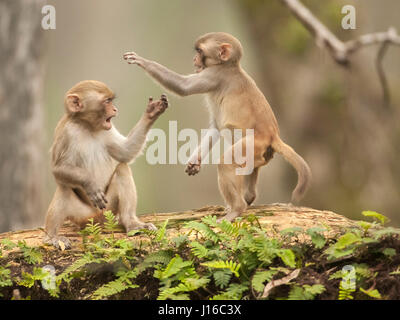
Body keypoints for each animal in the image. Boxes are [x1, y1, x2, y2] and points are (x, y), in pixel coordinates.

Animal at [44, 80, 169, 250]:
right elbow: (58, 169)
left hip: (110, 207)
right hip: (82, 215)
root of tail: (99, 219)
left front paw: (152, 112)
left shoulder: (108, 130)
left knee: (122, 168)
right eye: (107, 101)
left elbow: (125, 152)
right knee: (64, 188)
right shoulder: (66, 133)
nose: (115, 109)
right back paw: (52, 236)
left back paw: (131, 223)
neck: (87, 126)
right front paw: (90, 183)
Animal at [123, 32, 310, 222]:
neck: (228, 66)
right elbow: (215, 127)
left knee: (226, 162)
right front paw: (195, 161)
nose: (194, 59)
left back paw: (237, 208)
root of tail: (272, 135)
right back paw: (247, 198)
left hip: (252, 145)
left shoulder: (214, 75)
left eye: (200, 51)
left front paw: (142, 61)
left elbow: (183, 87)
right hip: (260, 153)